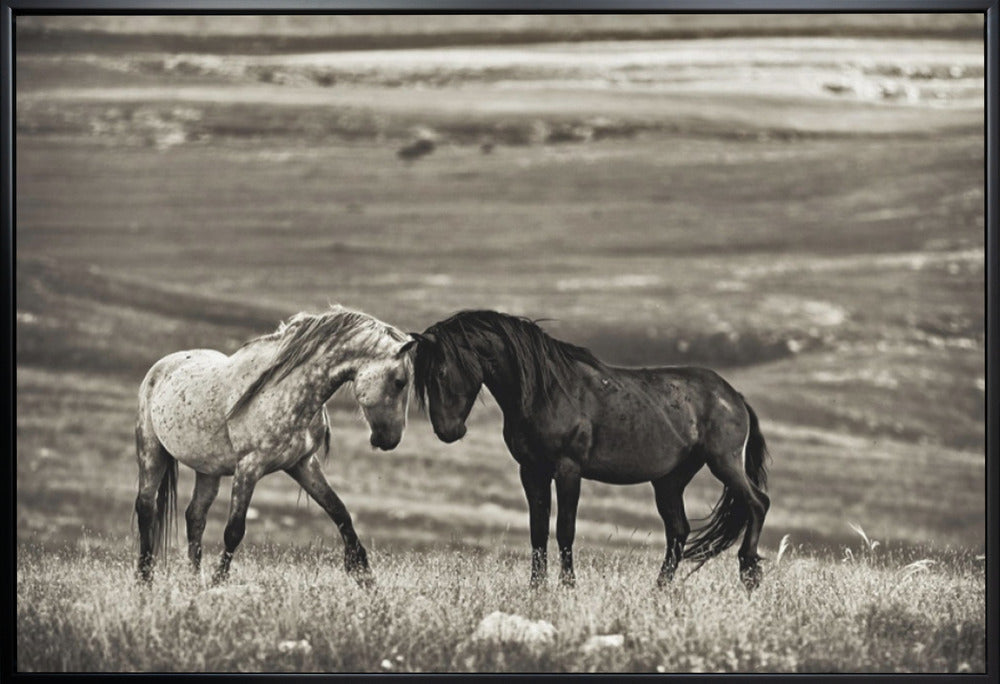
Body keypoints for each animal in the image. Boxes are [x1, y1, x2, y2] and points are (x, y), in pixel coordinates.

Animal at [134, 305, 416, 587]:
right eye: (399, 382)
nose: (391, 439)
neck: (284, 391)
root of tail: (160, 367)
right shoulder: (249, 467)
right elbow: (234, 530)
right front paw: (219, 582)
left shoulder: (303, 464)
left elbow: (340, 512)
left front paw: (364, 575)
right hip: (151, 452)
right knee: (146, 507)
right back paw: (144, 579)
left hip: (208, 470)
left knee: (195, 516)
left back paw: (195, 581)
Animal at [412, 310, 771, 591]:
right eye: (423, 378)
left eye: (441, 372)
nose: (447, 431)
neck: (546, 392)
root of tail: (733, 396)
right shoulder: (532, 471)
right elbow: (537, 531)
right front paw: (536, 588)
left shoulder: (568, 469)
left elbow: (564, 530)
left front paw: (568, 586)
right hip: (669, 481)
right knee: (679, 530)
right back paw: (659, 589)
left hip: (724, 462)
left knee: (758, 503)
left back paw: (749, 572)